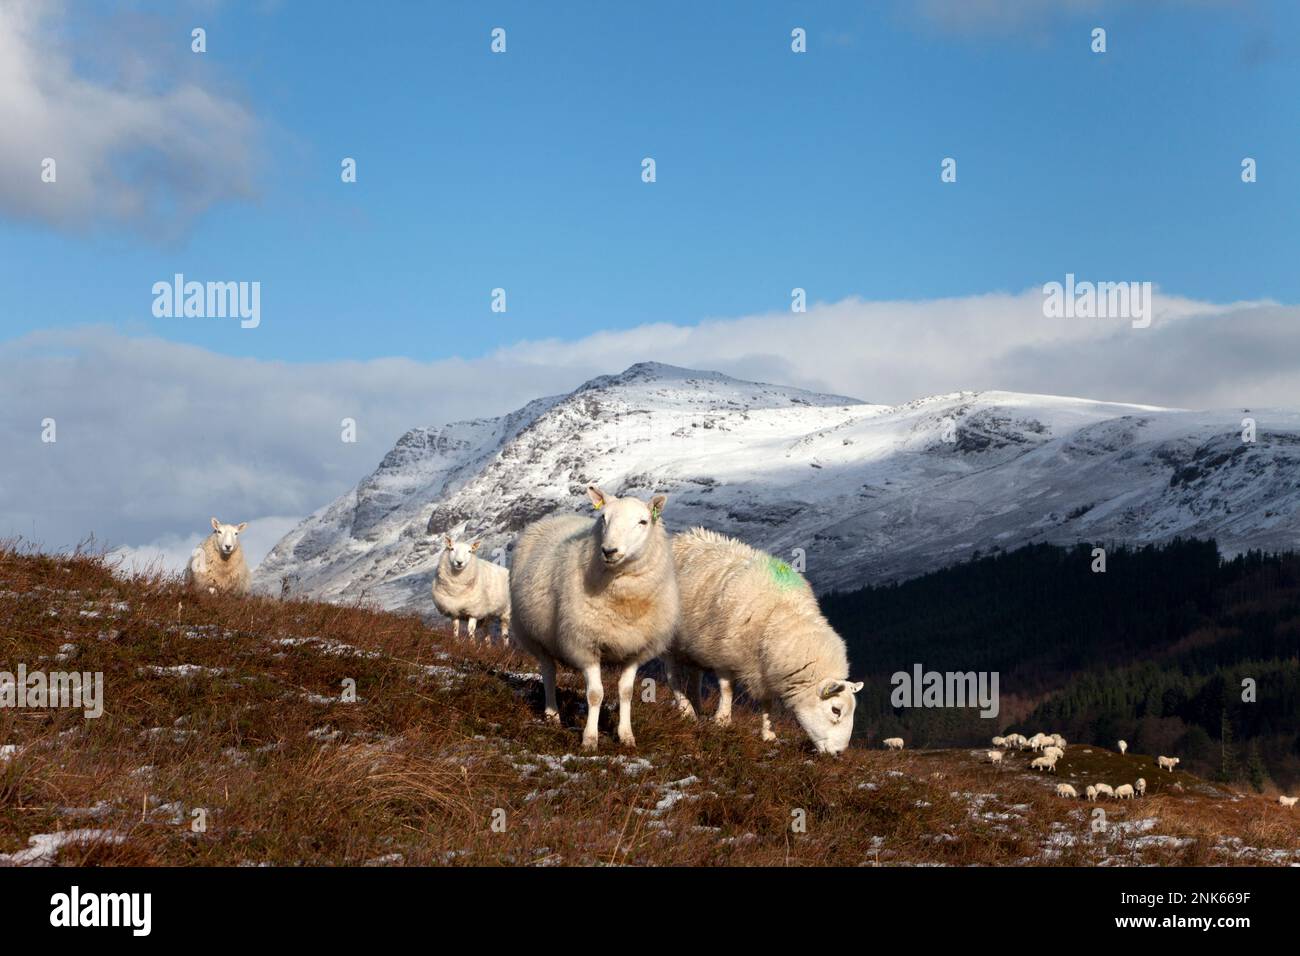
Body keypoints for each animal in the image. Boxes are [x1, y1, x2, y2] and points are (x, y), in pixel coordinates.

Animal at [509, 486, 679, 751]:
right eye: (603, 517)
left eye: (643, 521)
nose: (609, 551)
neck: (625, 604)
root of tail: (553, 518)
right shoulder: (585, 643)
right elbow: (595, 694)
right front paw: (590, 739)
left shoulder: (636, 649)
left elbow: (626, 692)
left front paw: (626, 736)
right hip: (532, 635)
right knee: (548, 672)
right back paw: (552, 714)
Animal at [663, 527, 862, 755]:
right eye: (836, 710)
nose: (839, 753)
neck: (780, 615)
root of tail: (681, 537)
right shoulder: (724, 653)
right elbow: (727, 689)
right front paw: (722, 721)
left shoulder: (766, 670)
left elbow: (768, 703)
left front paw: (768, 735)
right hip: (671, 639)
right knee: (672, 674)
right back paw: (685, 709)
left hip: (693, 646)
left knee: (695, 675)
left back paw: (697, 708)